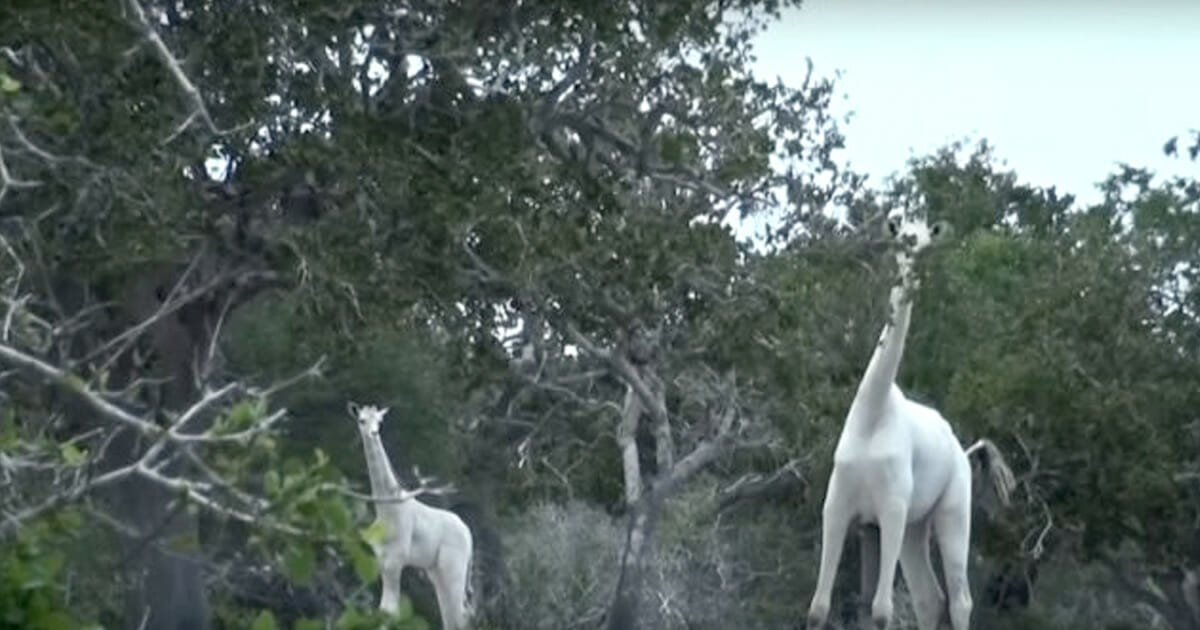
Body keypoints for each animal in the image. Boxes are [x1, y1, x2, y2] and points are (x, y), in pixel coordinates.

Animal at [348, 400, 472, 624]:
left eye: (379, 421)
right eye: (362, 420)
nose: (373, 433)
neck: (387, 509)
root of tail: (468, 533)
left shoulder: (396, 558)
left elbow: (391, 610)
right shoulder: (381, 559)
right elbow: (384, 609)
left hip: (454, 566)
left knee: (459, 614)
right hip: (436, 570)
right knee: (451, 613)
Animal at [806, 207, 1012, 628]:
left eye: (927, 239)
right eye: (903, 236)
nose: (912, 258)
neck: (874, 411)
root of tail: (963, 452)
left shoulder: (892, 507)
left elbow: (881, 611)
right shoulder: (840, 506)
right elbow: (818, 608)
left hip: (952, 512)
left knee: (959, 599)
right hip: (916, 529)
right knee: (929, 598)